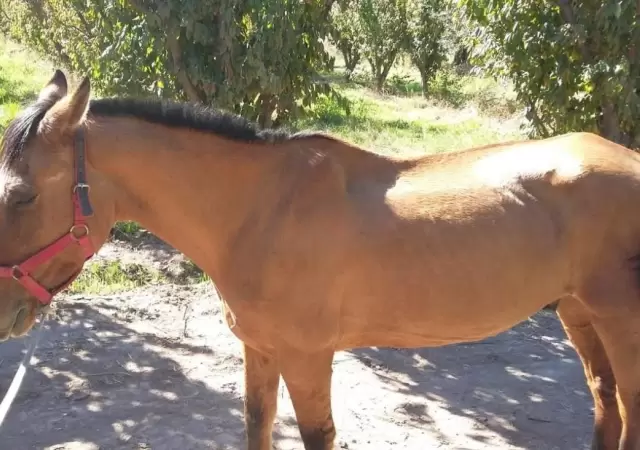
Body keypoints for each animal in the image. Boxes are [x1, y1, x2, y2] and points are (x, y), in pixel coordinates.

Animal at [0, 70, 638, 450]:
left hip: (620, 323)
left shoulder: (308, 357)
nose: (7, 314)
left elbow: (315, 435)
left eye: (21, 195)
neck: (261, 209)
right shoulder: (260, 349)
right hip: (579, 314)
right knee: (606, 403)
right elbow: (257, 424)